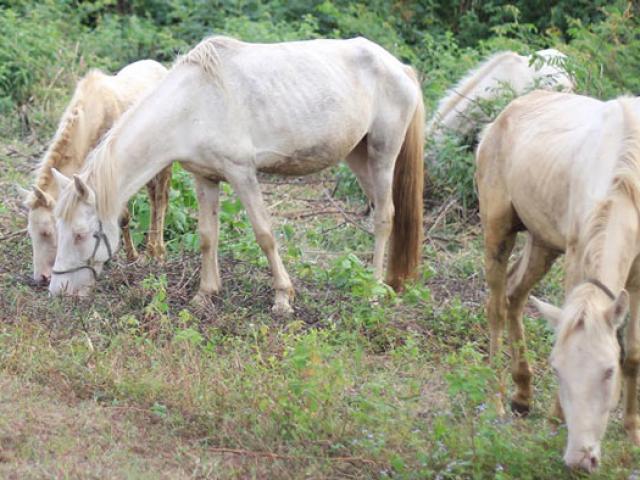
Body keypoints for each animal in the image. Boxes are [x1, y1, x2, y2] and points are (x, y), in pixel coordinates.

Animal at [17, 60, 171, 284]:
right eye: (30, 232)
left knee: (161, 199)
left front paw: (132, 257)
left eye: (46, 232)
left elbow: (123, 217)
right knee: (153, 197)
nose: (41, 277)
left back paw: (158, 253)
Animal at [46, 38, 424, 316]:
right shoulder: (205, 178)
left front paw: (283, 298)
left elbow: (265, 234)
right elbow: (207, 236)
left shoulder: (242, 174)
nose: (57, 290)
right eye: (57, 230)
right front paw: (205, 294)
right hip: (358, 156)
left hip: (382, 154)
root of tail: (400, 67)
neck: (192, 105)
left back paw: (373, 291)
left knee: (385, 218)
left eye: (81, 234)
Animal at [478, 90, 640, 472]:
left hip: (542, 243)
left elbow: (634, 353)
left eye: (608, 371)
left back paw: (523, 394)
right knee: (496, 307)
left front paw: (632, 430)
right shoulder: (576, 256)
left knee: (514, 294)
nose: (581, 459)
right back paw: (498, 399)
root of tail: (503, 116)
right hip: (498, 230)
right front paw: (555, 419)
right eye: (557, 369)